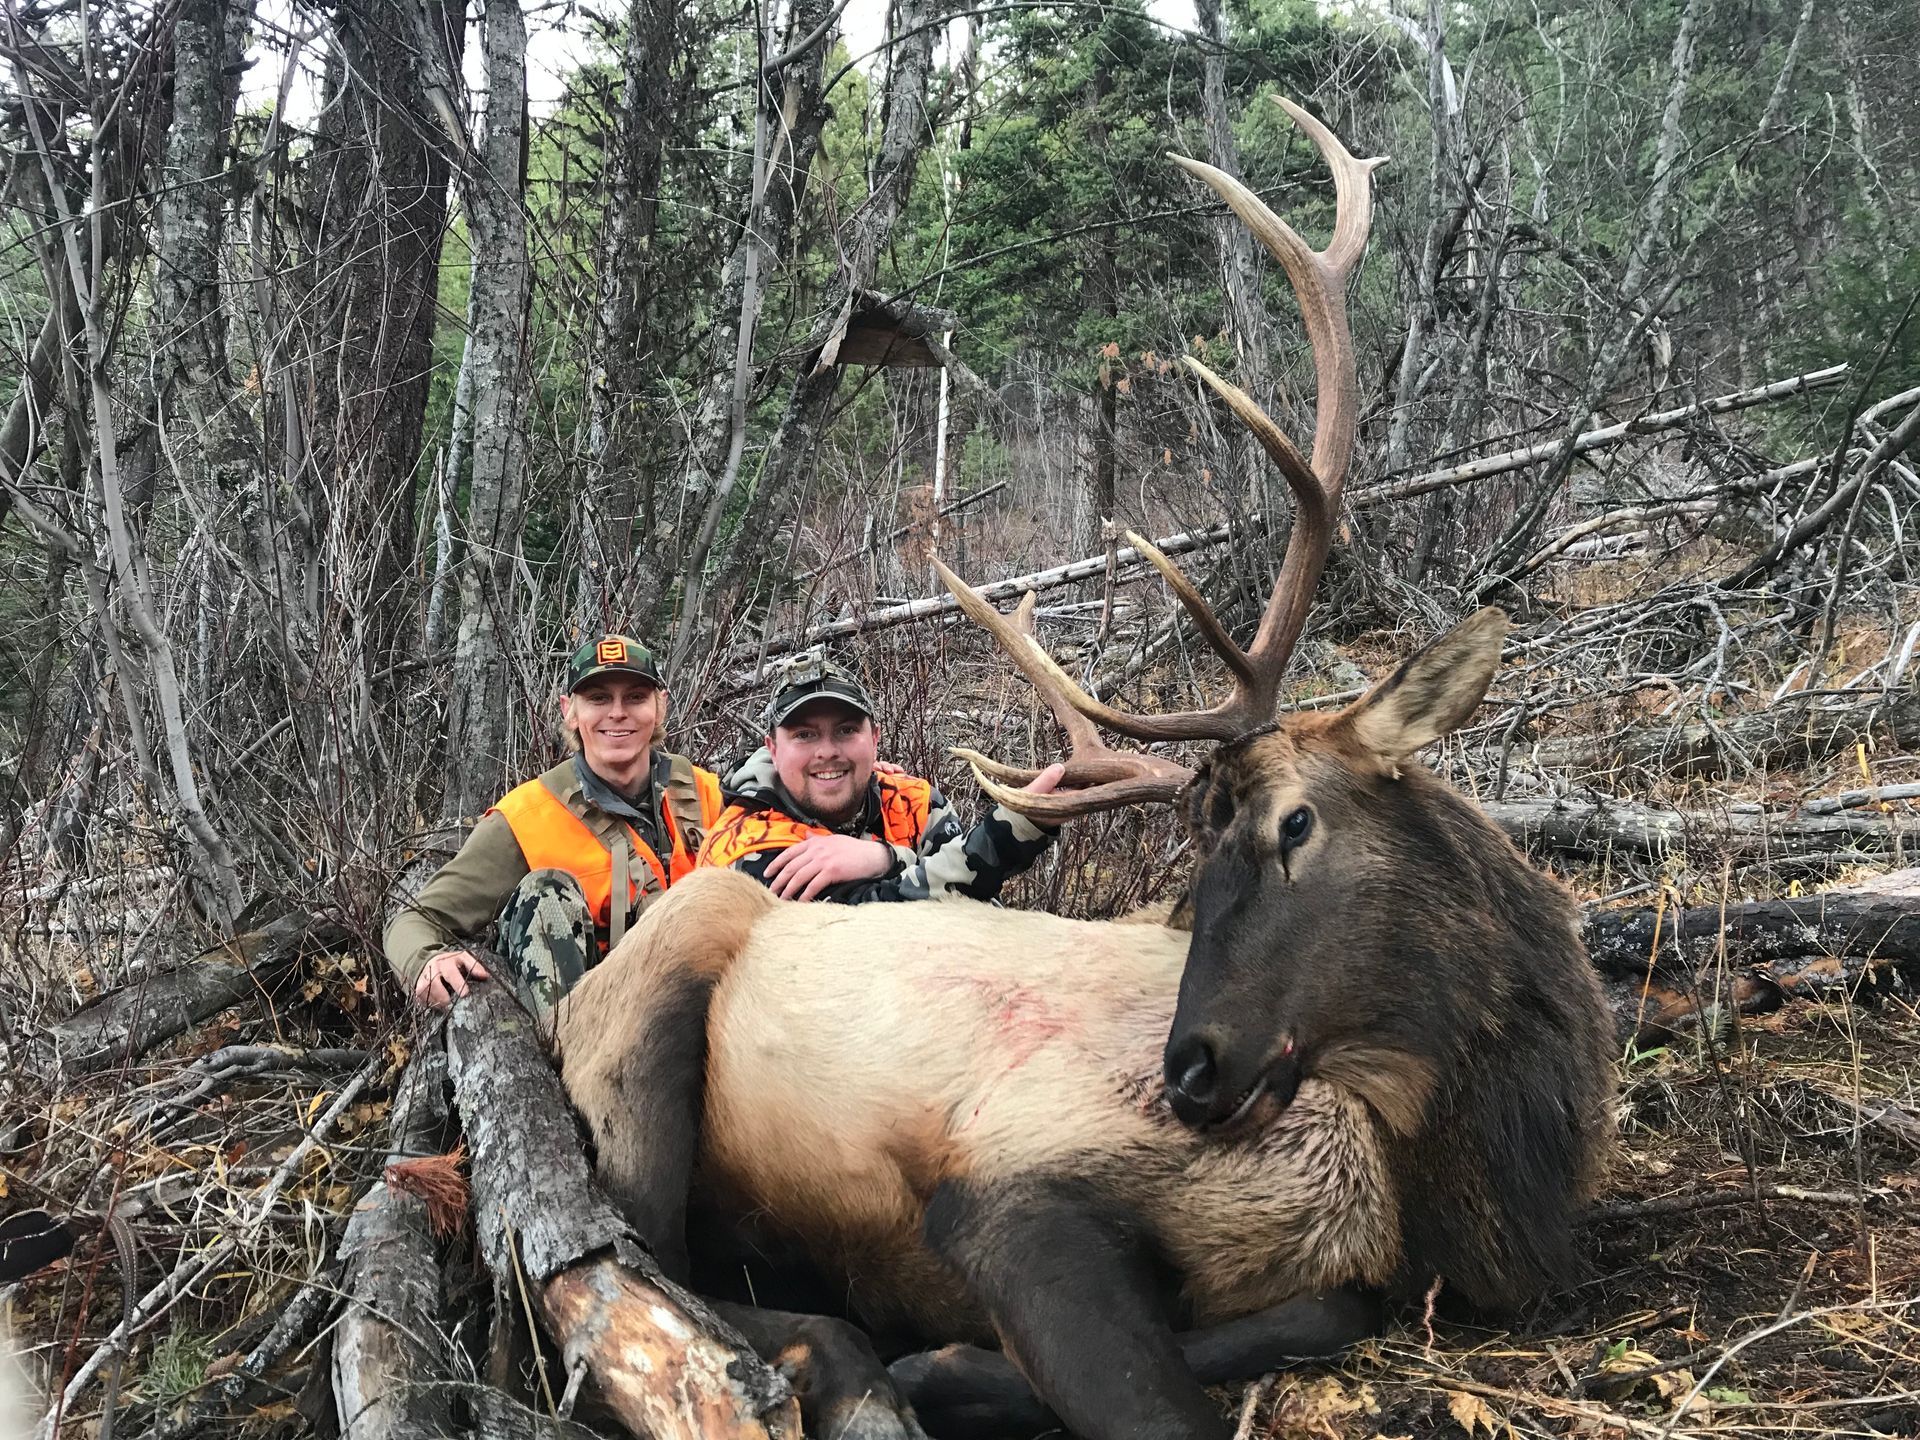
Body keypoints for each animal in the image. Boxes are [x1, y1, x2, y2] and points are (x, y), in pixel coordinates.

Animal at [552, 97, 1616, 1440]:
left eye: (1295, 825)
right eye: (1215, 843)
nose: (1190, 1069)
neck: (1452, 1182)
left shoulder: (1342, 1273)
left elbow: (1309, 1317)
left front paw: (954, 1368)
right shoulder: (1012, 1183)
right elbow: (1161, 1407)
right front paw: (924, 1365)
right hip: (650, 1024)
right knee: (643, 1261)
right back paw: (842, 1357)